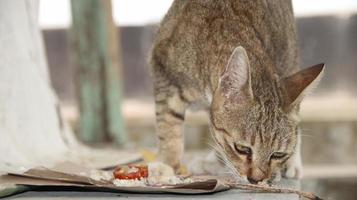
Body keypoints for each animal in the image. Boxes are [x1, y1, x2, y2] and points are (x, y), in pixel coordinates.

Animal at [149, 0, 324, 184]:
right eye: (242, 149)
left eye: (277, 155)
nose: (256, 180)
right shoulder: (164, 72)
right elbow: (168, 123)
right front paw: (167, 164)